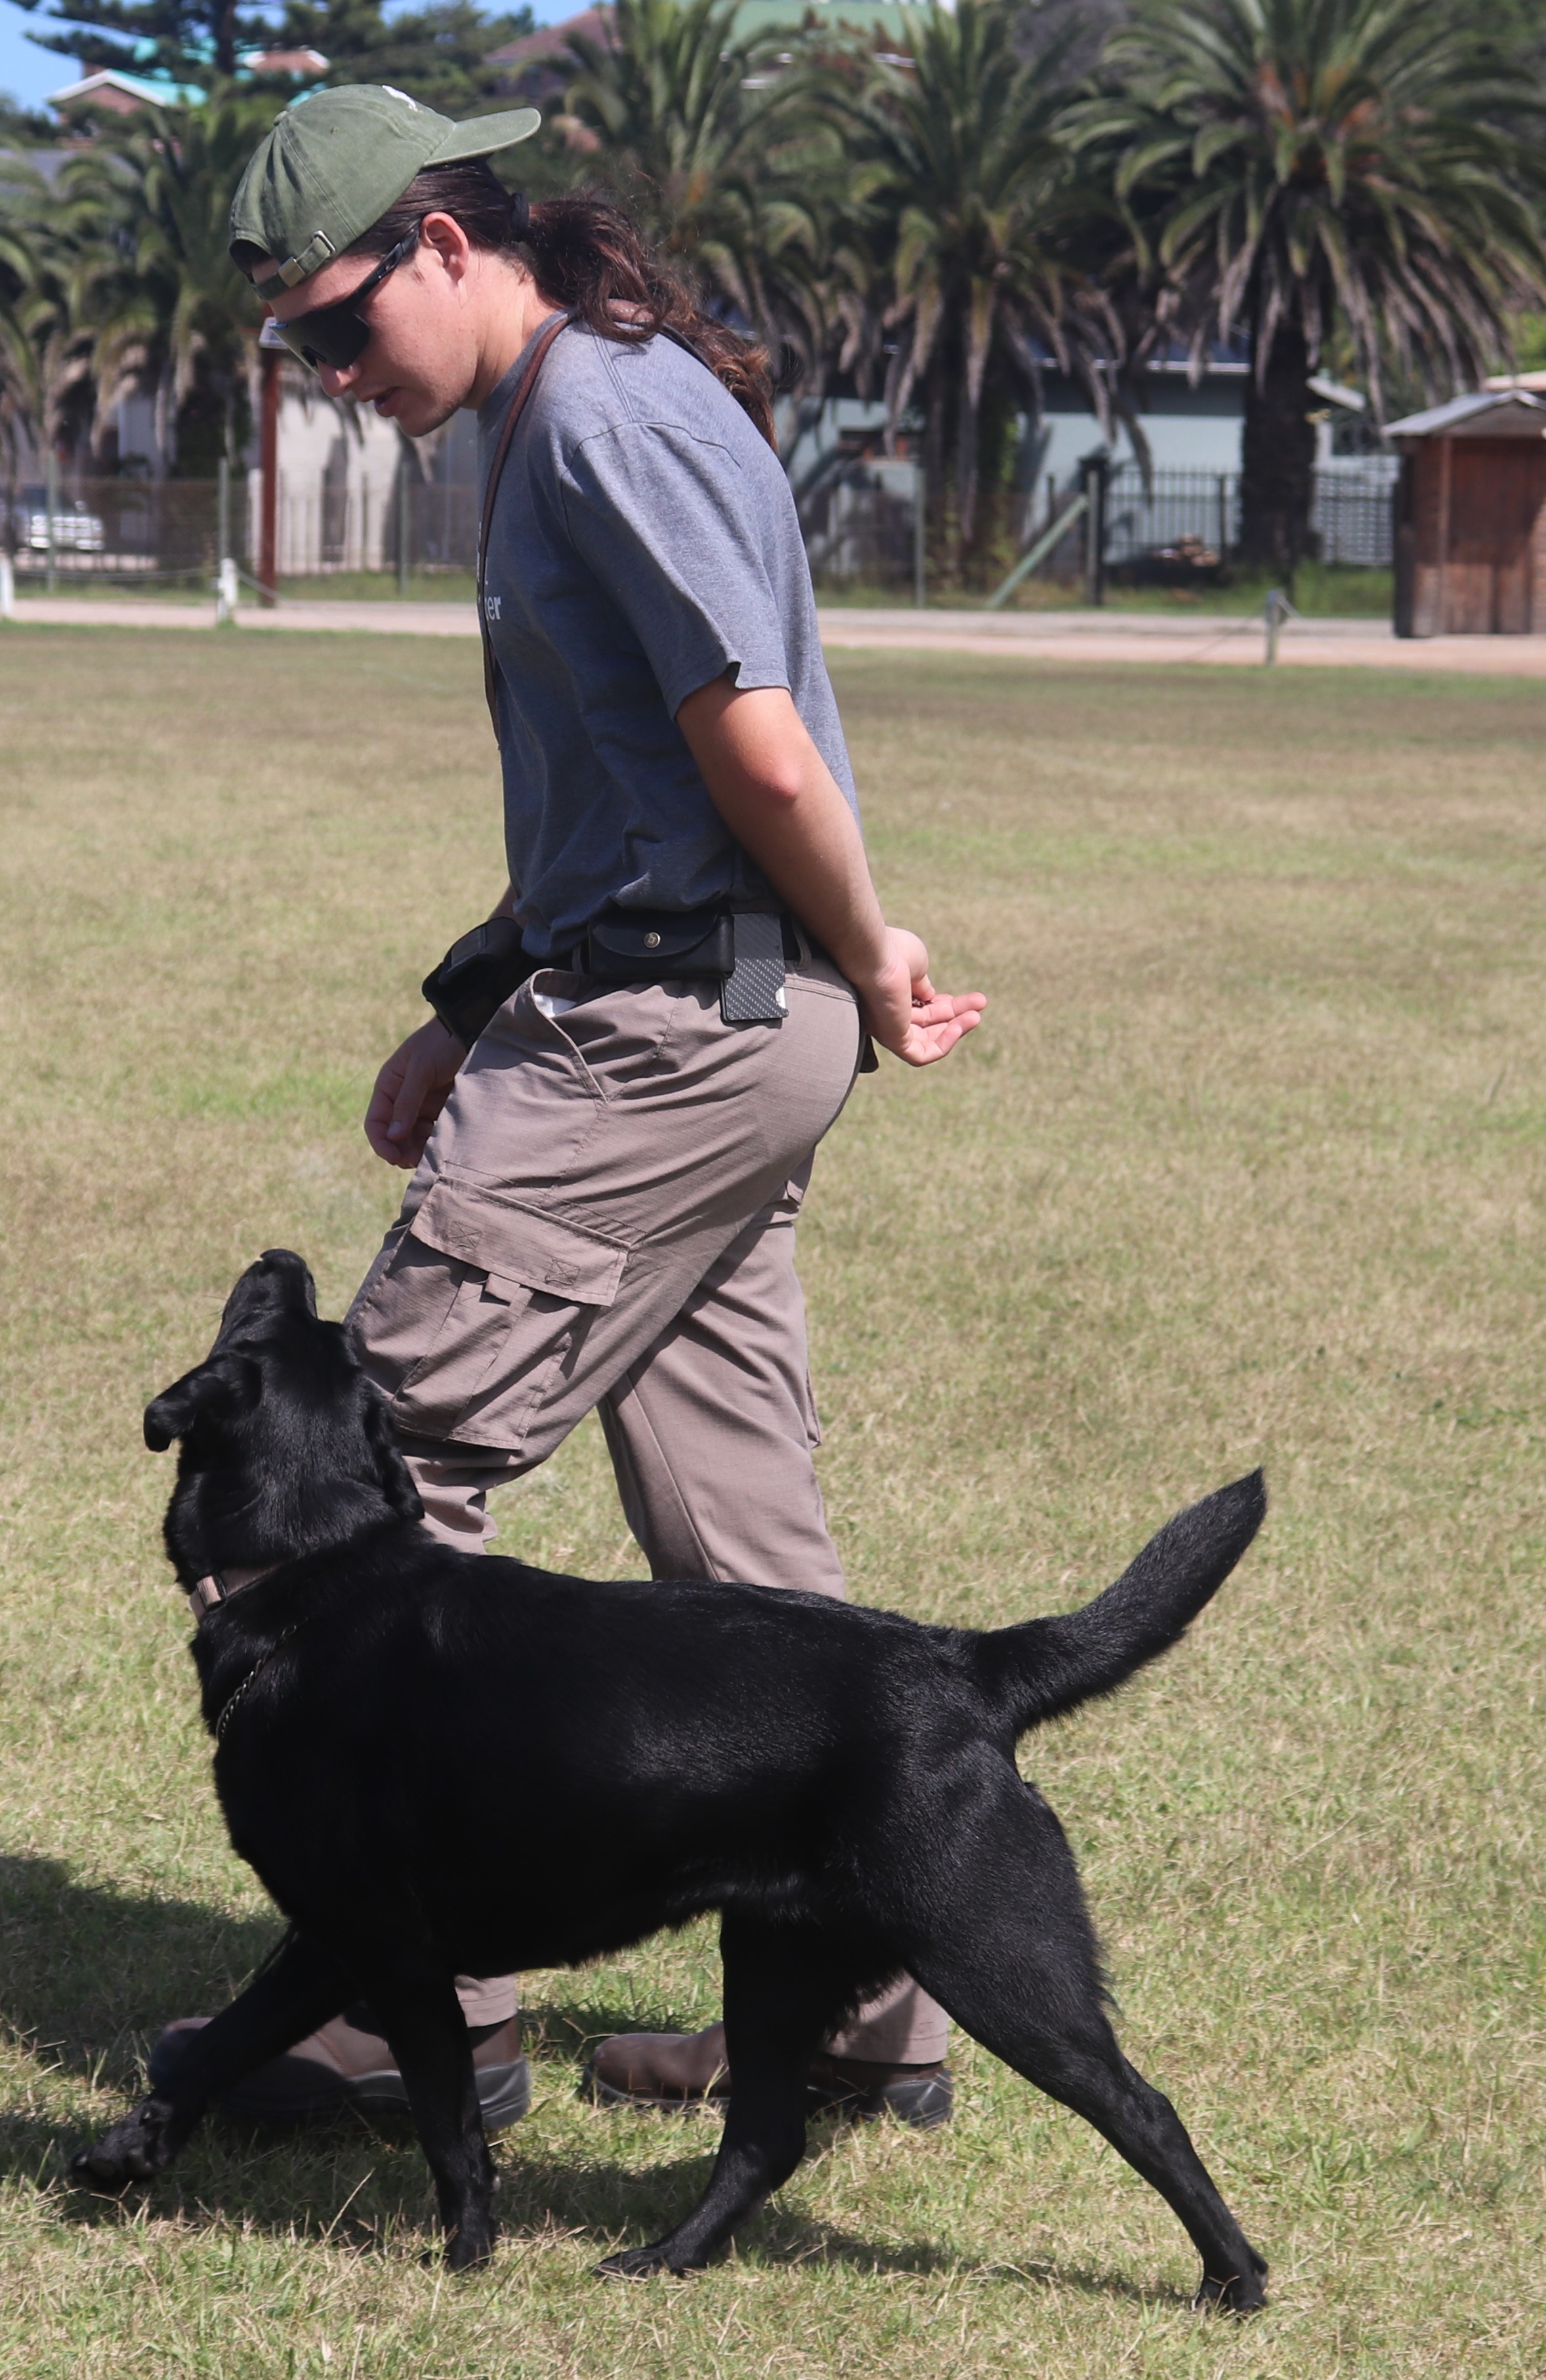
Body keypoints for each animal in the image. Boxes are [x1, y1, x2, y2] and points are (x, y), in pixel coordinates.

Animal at [72, 1249, 1268, 2309]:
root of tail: (971, 1665)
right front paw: (123, 2156)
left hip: (996, 1958)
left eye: (259, 1324)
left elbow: (448, 2120)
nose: (282, 1257)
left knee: (1146, 2110)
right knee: (766, 2139)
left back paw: (1235, 2281)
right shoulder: (330, 1938)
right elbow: (216, 2047)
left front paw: (464, 2257)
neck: (311, 1571)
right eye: (318, 1333)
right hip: (780, 1960)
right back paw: (663, 2259)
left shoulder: (386, 1948)